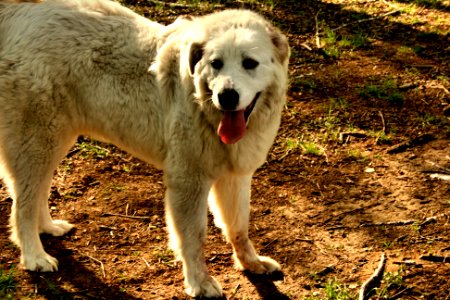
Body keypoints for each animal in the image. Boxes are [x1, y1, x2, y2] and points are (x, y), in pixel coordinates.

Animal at [0, 0, 288, 296]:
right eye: (215, 64)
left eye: (249, 63)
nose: (227, 96)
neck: (202, 105)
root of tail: (23, 11)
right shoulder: (188, 181)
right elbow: (194, 237)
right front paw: (200, 282)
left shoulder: (235, 177)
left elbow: (239, 227)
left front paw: (252, 263)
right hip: (37, 140)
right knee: (22, 205)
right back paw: (34, 256)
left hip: (54, 140)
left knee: (37, 192)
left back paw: (48, 227)